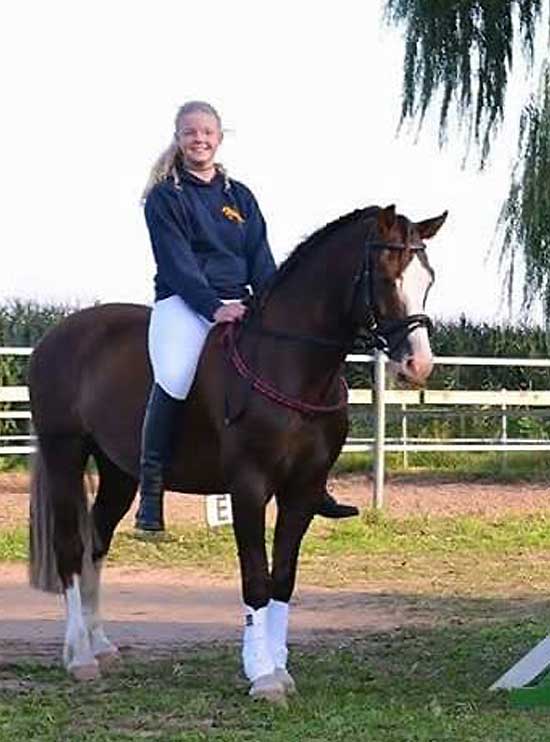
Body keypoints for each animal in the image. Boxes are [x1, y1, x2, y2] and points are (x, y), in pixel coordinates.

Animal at [28, 203, 446, 700]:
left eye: (428, 277)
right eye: (385, 277)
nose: (418, 365)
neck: (289, 365)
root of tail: (56, 335)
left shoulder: (302, 490)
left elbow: (282, 577)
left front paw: (280, 669)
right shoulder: (249, 487)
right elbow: (255, 579)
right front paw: (262, 675)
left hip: (119, 472)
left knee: (96, 541)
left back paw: (101, 645)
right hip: (65, 454)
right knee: (71, 546)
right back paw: (80, 657)